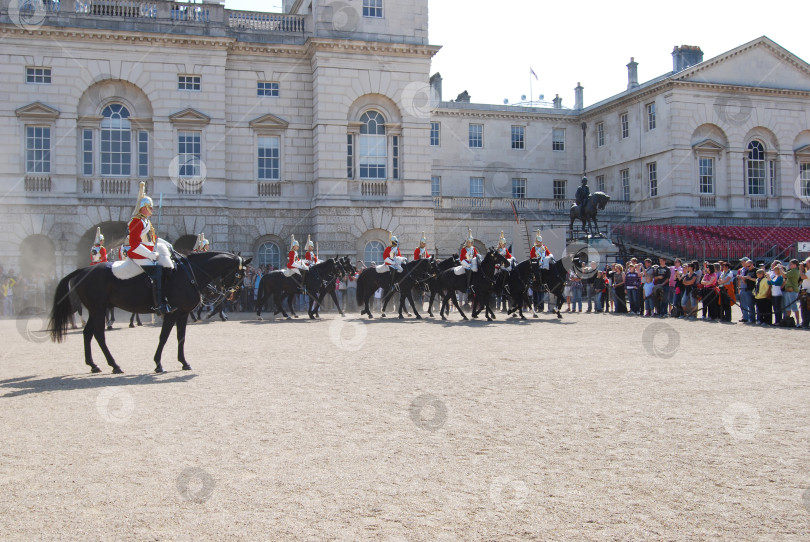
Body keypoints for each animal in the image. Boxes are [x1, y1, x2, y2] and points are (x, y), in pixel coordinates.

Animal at [49, 254, 248, 374]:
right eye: (240, 275)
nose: (233, 295)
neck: (189, 274)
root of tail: (83, 270)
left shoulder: (183, 314)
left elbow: (180, 338)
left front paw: (184, 362)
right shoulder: (172, 314)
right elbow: (164, 337)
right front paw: (158, 364)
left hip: (96, 309)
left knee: (88, 333)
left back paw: (94, 364)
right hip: (98, 309)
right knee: (98, 334)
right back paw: (114, 365)